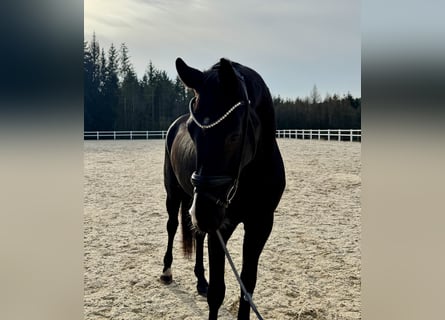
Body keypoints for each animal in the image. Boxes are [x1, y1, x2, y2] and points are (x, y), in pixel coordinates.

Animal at [160, 58, 284, 320]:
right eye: (192, 131)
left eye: (234, 135)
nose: (205, 214)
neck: (251, 177)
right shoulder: (221, 227)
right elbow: (218, 292)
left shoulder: (260, 225)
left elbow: (248, 285)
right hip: (175, 195)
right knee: (172, 226)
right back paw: (166, 272)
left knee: (196, 234)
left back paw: (200, 281)